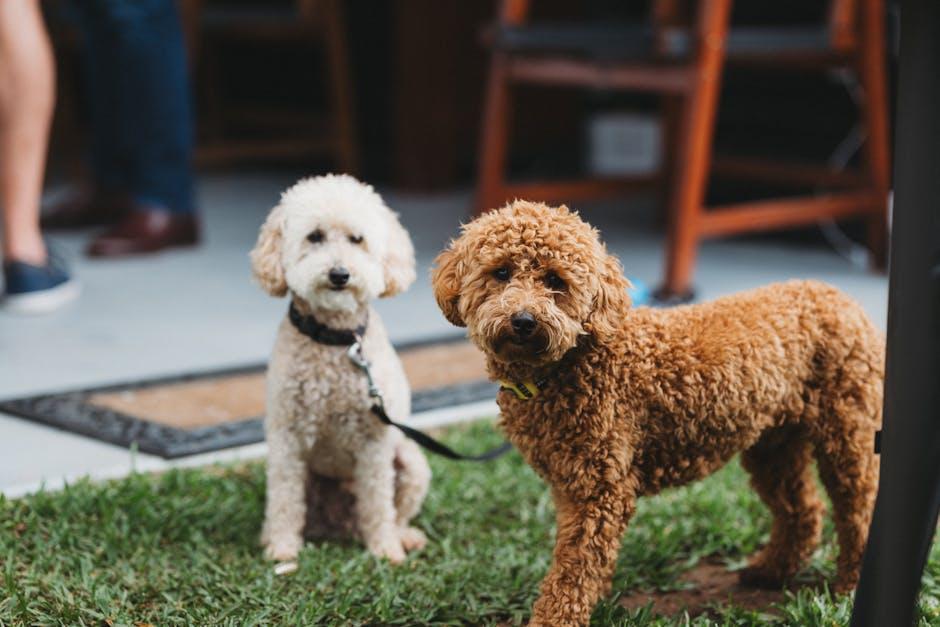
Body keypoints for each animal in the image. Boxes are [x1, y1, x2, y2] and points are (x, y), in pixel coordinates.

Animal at [248, 175, 428, 564]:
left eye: (357, 239)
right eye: (314, 236)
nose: (340, 274)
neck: (335, 340)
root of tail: (339, 524)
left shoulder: (375, 443)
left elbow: (377, 502)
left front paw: (385, 549)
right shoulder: (286, 438)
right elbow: (284, 499)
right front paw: (282, 549)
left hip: (410, 460)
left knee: (395, 512)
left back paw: (403, 536)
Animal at [430, 202, 884, 627]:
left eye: (555, 281)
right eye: (501, 272)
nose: (523, 320)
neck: (571, 362)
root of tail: (846, 301)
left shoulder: (599, 492)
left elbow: (573, 572)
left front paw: (554, 619)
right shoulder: (570, 484)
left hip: (848, 431)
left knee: (859, 507)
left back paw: (850, 586)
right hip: (774, 442)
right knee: (802, 509)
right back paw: (772, 570)